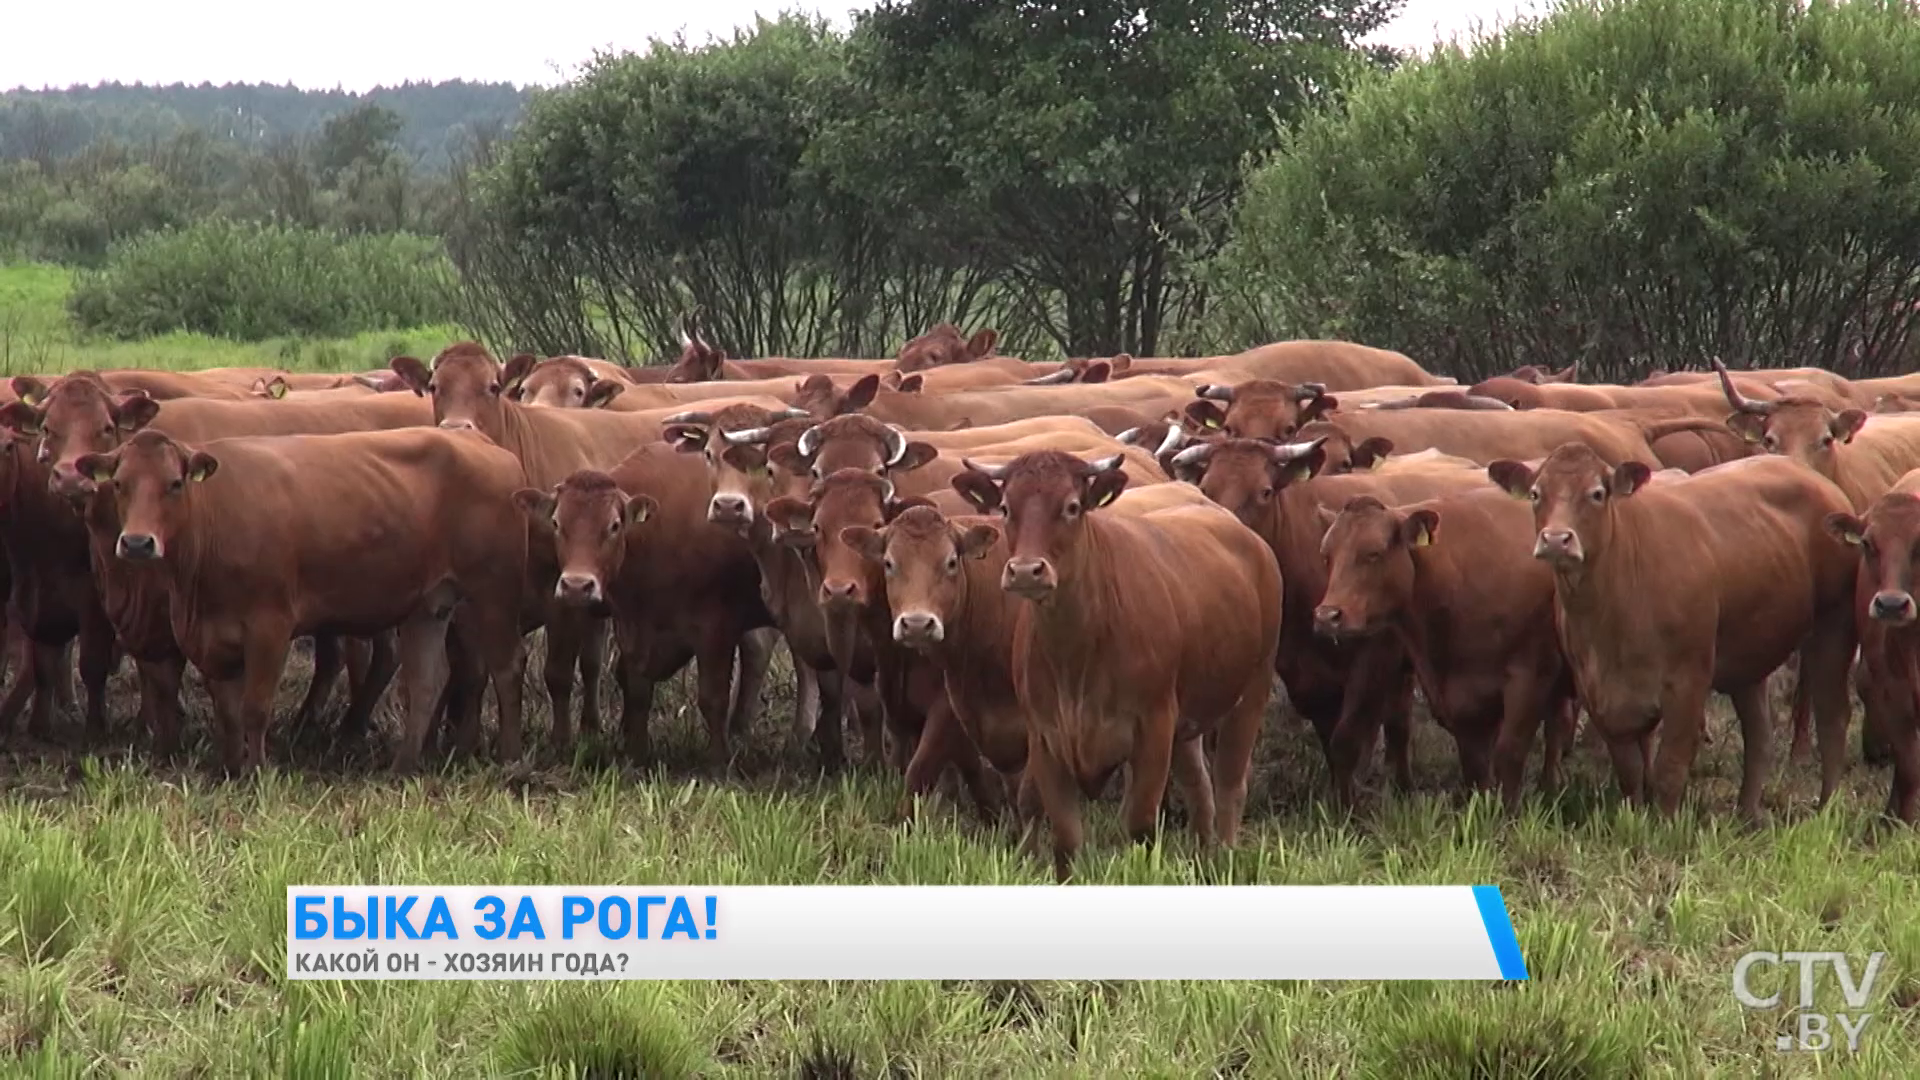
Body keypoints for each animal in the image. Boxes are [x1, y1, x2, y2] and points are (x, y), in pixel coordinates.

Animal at [75, 424, 529, 768]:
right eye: (119, 484)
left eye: (174, 483)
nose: (137, 543)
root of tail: (477, 439)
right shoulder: (210, 637)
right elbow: (228, 712)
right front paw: (229, 769)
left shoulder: (270, 627)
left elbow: (255, 708)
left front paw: (256, 773)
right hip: (428, 606)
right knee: (424, 684)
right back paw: (404, 766)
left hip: (494, 594)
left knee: (507, 669)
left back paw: (510, 759)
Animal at [952, 449, 1282, 880]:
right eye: (1006, 507)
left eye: (1072, 507)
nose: (1026, 571)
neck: (1075, 654)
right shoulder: (1045, 738)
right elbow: (1066, 836)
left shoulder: (1154, 727)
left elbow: (1140, 825)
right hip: (1187, 722)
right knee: (1200, 788)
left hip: (1251, 691)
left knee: (1229, 783)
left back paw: (1222, 858)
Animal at [1320, 486, 1574, 799]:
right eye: (1326, 556)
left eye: (1373, 553)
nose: (1327, 615)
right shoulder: (1461, 703)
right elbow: (1476, 769)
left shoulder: (1530, 676)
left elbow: (1509, 755)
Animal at [1482, 447, 1858, 814]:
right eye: (1535, 494)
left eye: (1597, 493)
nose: (1556, 539)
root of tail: (1810, 475)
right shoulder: (1597, 693)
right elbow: (1630, 770)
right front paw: (1632, 817)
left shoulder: (1687, 684)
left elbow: (1669, 768)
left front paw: (1664, 823)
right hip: (1749, 656)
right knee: (1759, 734)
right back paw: (1747, 814)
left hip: (1833, 626)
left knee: (1832, 718)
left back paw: (1827, 806)